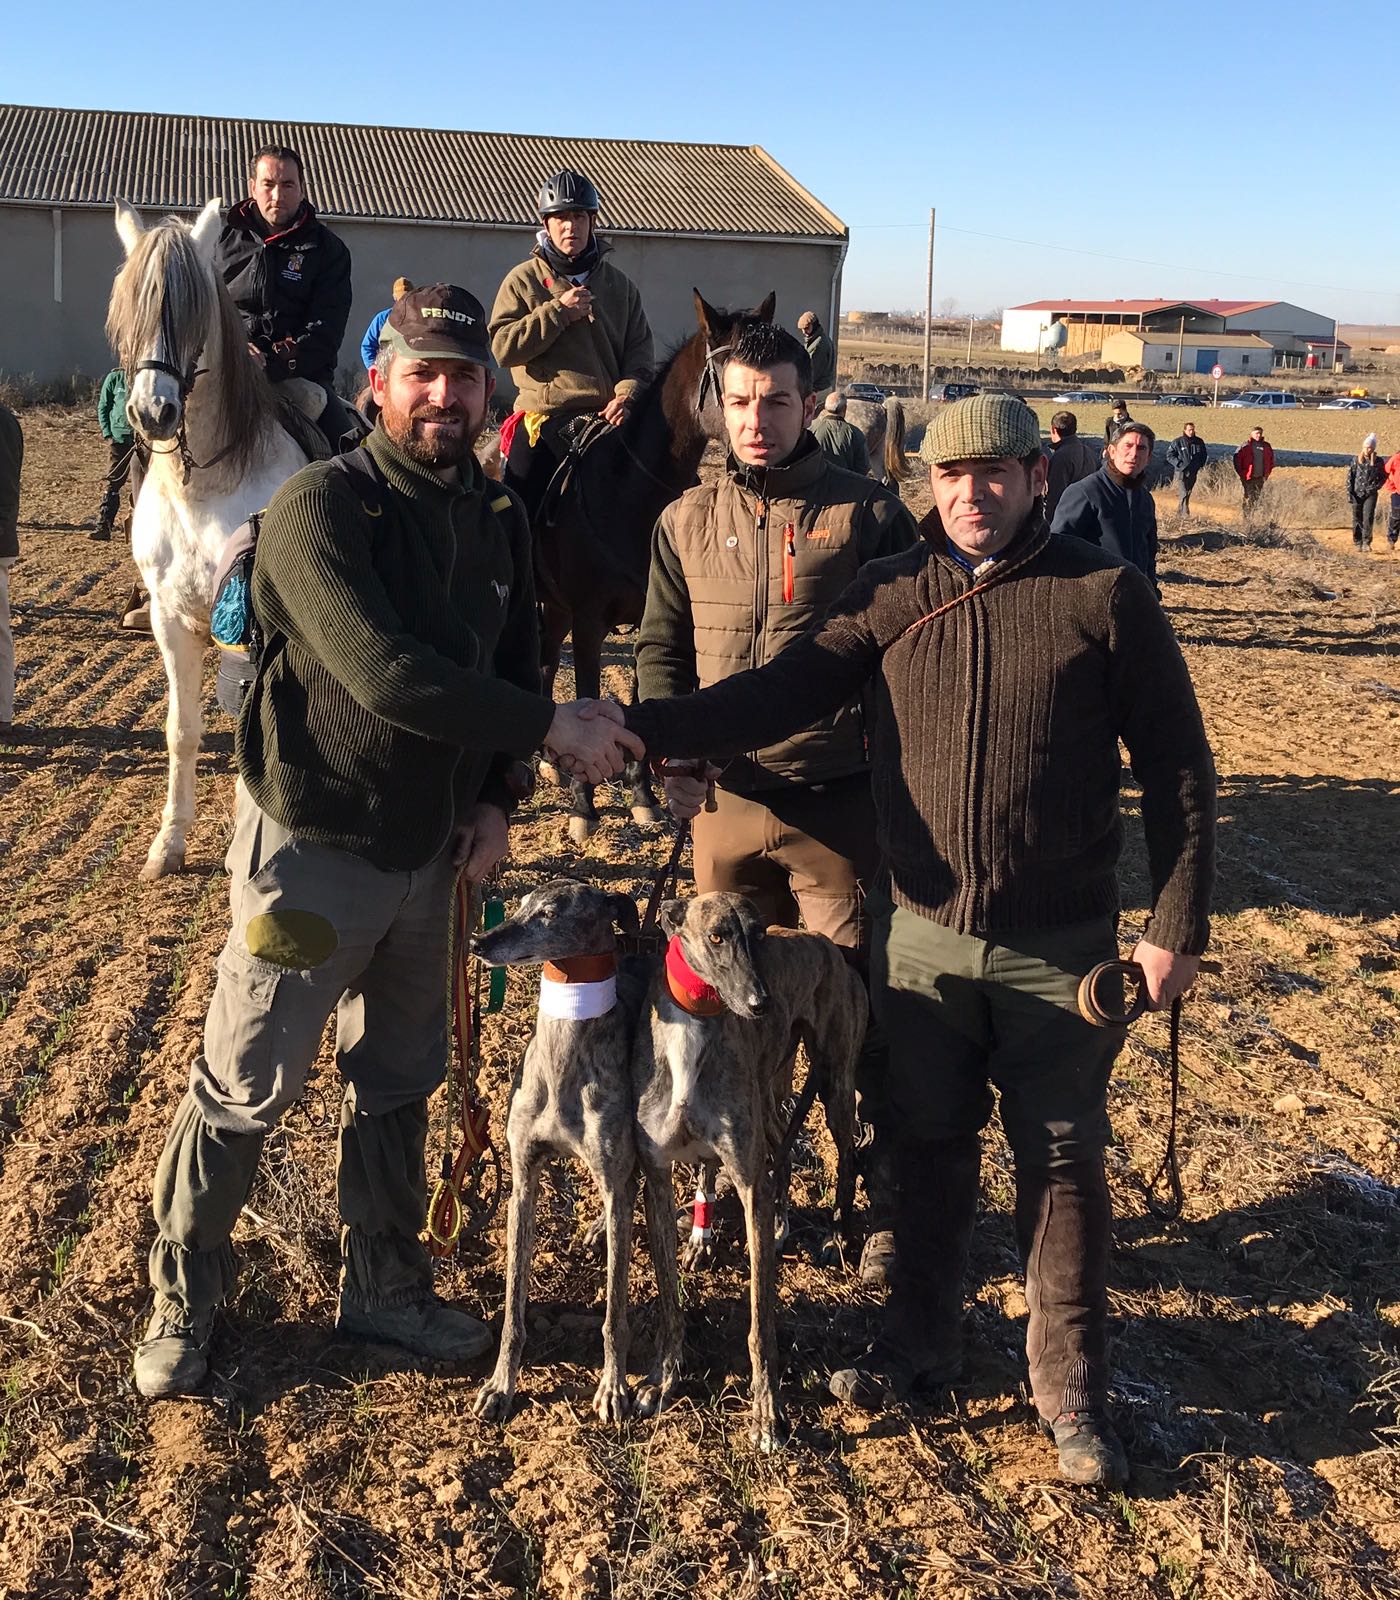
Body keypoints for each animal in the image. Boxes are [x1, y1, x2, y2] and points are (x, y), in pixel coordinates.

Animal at [106, 200, 312, 883]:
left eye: (193, 309)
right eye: (130, 312)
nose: (153, 413)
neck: (205, 488)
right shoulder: (172, 620)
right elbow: (182, 729)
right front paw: (168, 844)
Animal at [534, 291, 777, 838]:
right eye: (732, 379)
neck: (629, 492)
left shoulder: (652, 613)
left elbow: (642, 701)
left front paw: (642, 795)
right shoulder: (588, 622)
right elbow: (588, 693)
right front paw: (584, 807)